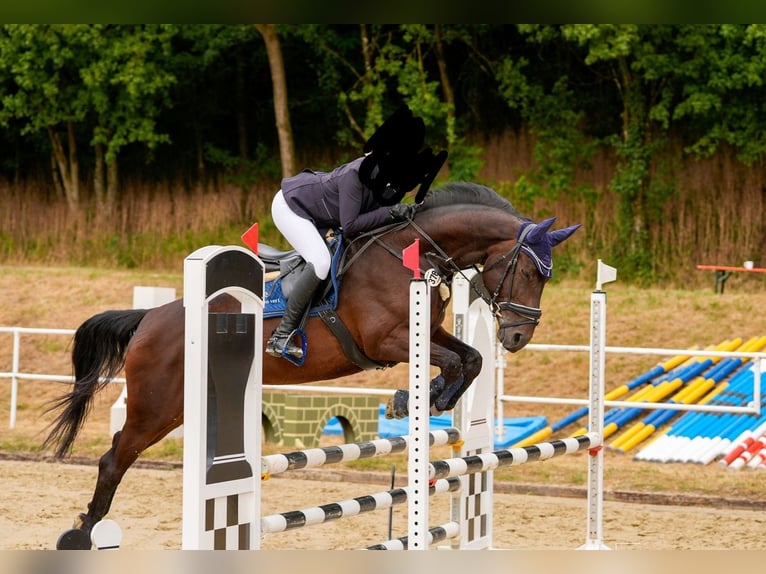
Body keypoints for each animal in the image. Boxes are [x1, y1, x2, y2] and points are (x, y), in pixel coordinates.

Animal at [43, 181, 580, 546]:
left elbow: (470, 358)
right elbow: (452, 362)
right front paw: (416, 398)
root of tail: (150, 317)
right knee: (115, 457)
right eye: (529, 271)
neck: (415, 252)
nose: (518, 336)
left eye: (546, 277)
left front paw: (422, 399)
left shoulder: (425, 333)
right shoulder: (387, 340)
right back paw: (82, 533)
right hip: (155, 407)